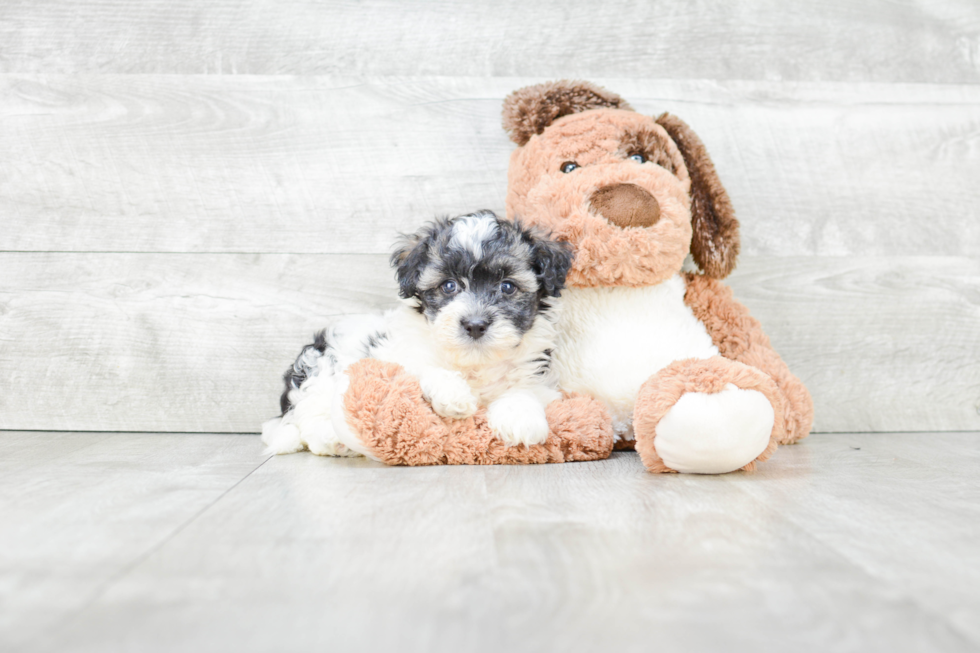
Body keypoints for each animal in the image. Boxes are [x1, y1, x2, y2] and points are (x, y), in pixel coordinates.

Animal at [260, 211, 576, 456]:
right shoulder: (397, 356)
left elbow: (524, 388)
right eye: (449, 286)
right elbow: (426, 369)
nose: (475, 324)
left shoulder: (537, 373)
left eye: (508, 287)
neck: (474, 361)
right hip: (322, 370)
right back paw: (332, 438)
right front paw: (453, 394)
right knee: (308, 417)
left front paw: (520, 419)